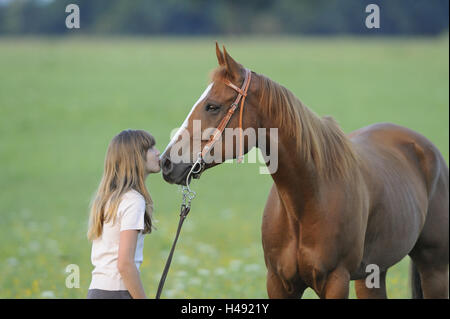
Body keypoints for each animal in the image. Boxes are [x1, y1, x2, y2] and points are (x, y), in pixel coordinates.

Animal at [160, 43, 448, 300]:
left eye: (213, 106)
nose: (166, 162)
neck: (309, 197)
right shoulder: (278, 283)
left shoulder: (336, 281)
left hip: (434, 268)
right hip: (372, 274)